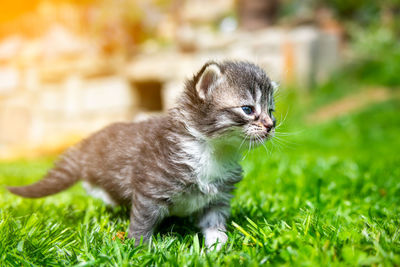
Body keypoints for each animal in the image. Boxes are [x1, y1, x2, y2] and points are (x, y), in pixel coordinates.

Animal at [10, 60, 278, 249]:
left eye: (271, 111)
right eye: (247, 109)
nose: (270, 126)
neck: (213, 150)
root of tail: (88, 144)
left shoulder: (217, 199)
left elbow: (215, 226)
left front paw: (220, 249)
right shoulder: (151, 190)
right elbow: (142, 223)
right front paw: (141, 249)